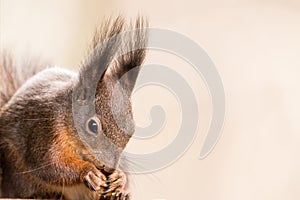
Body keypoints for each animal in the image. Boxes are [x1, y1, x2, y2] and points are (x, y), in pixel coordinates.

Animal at [0, 16, 146, 199]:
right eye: (93, 126)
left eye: (132, 130)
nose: (109, 168)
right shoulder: (45, 131)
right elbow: (51, 164)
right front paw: (88, 171)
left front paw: (119, 178)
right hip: (15, 168)